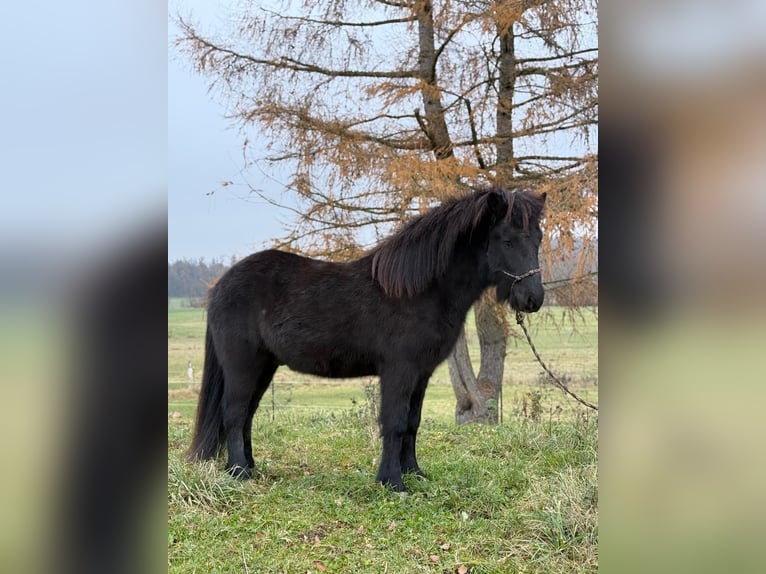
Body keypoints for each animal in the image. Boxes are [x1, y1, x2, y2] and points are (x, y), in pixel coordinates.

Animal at [187, 187, 546, 492]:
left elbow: (413, 423)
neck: (418, 292)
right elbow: (395, 422)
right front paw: (392, 482)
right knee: (234, 413)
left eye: (538, 239)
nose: (533, 299)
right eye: (508, 241)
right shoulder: (399, 371)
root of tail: (219, 286)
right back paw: (239, 472)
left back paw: (250, 467)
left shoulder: (421, 374)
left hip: (265, 366)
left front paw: (414, 473)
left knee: (247, 414)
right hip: (242, 365)